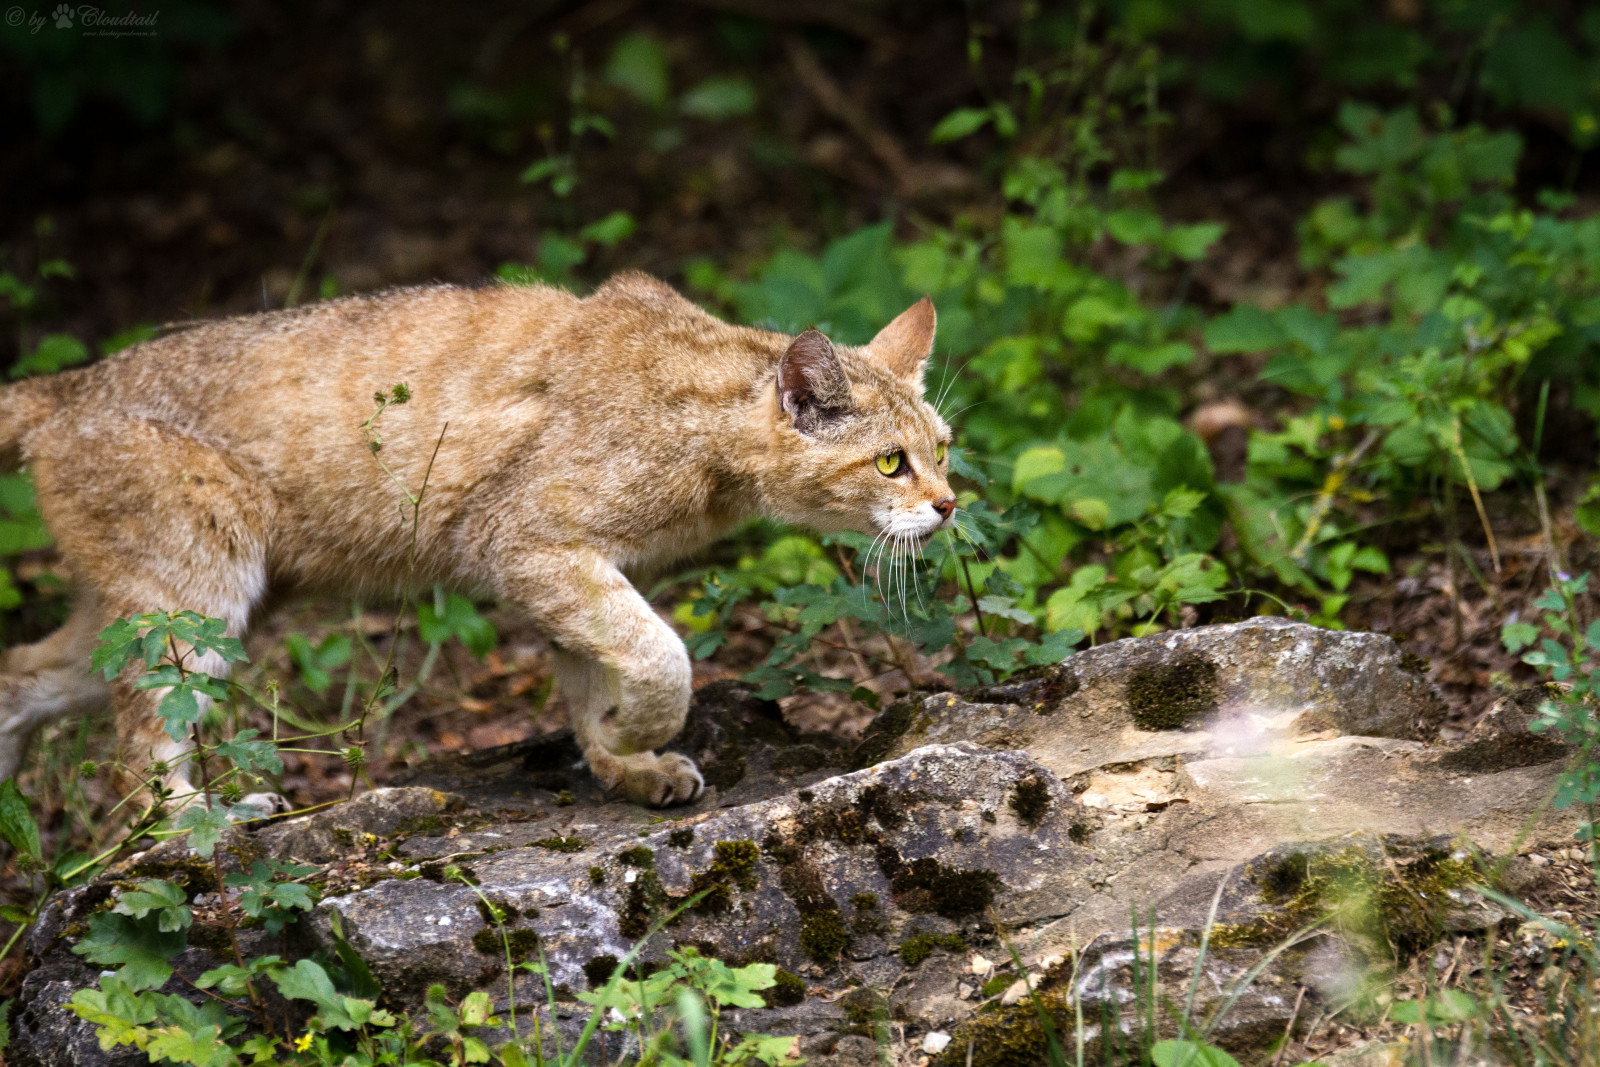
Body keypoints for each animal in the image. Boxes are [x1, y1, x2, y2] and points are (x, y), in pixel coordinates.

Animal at [0, 273, 953, 809]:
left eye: (943, 448)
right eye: (891, 462)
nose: (949, 504)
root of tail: (73, 383)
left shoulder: (569, 563)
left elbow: (597, 667)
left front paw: (622, 762)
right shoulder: (527, 542)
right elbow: (661, 651)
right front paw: (640, 731)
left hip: (166, 605)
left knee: (24, 673)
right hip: (194, 597)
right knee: (137, 755)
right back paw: (197, 824)